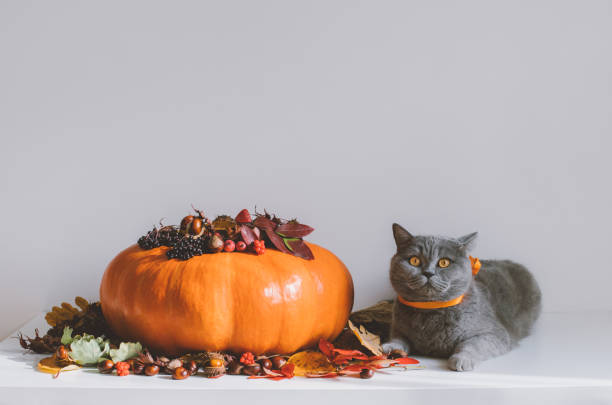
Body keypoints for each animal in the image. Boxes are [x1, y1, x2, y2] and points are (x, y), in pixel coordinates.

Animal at [382, 223, 540, 370]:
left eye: (444, 262)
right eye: (414, 260)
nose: (428, 273)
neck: (430, 309)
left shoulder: (494, 333)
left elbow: (472, 344)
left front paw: (462, 359)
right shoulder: (398, 328)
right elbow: (398, 339)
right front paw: (389, 347)